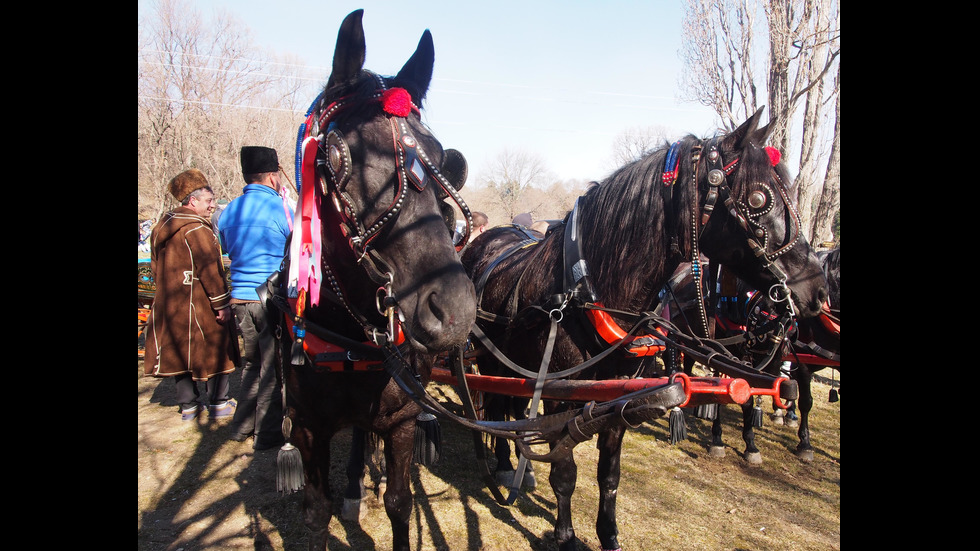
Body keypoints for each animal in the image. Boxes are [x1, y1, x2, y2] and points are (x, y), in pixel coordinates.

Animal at [272, 10, 478, 548]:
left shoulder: (401, 421)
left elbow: (400, 503)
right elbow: (318, 512)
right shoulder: (308, 429)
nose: (455, 311)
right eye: (341, 158)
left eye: (438, 156)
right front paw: (338, 497)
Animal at [464, 113, 832, 551]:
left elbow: (609, 476)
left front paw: (608, 535)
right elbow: (565, 474)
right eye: (759, 199)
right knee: (495, 408)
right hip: (490, 360)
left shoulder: (619, 397)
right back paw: (505, 464)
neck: (585, 289)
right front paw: (566, 536)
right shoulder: (557, 397)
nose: (817, 290)